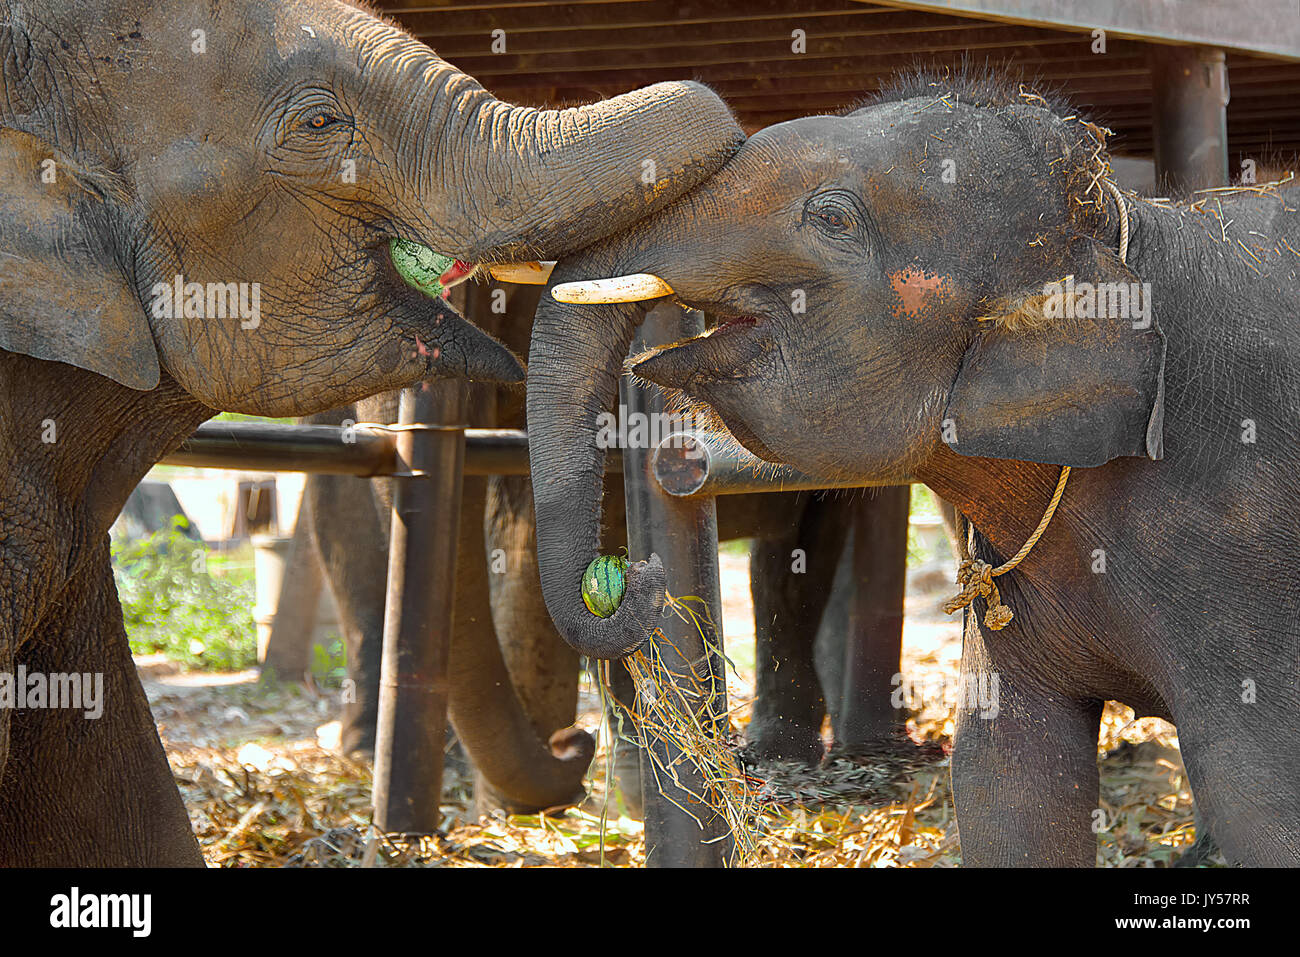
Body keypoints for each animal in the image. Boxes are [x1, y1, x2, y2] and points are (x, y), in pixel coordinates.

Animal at [525, 70, 1300, 868]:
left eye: (832, 218)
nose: (632, 580)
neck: (1128, 230)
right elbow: (1008, 787)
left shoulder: (1244, 547)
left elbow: (1261, 803)